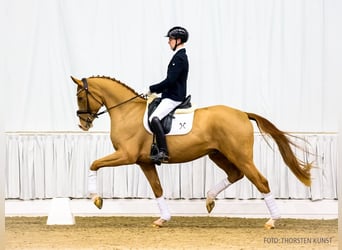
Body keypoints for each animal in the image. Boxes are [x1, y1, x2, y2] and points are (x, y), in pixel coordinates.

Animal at [71, 75, 312, 229]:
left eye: (80, 97)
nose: (83, 125)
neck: (127, 111)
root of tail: (243, 113)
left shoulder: (126, 155)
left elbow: (93, 164)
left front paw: (96, 199)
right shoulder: (144, 162)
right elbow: (157, 189)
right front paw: (163, 219)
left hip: (241, 156)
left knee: (261, 181)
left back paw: (272, 220)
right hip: (217, 154)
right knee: (235, 175)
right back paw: (210, 200)